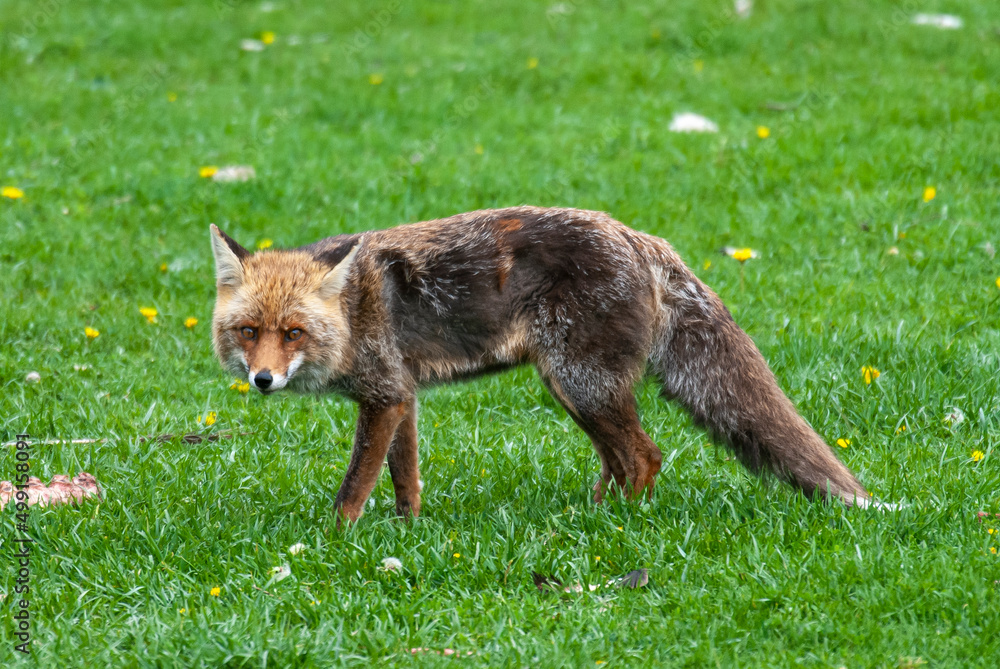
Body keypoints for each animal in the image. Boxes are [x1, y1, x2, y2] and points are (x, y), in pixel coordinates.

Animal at [210, 206, 870, 524]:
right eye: (249, 332)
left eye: (293, 333)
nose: (262, 380)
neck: (352, 312)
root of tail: (640, 237)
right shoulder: (400, 394)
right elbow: (404, 480)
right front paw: (407, 532)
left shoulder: (384, 395)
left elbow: (352, 488)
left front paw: (333, 542)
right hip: (578, 389)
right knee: (621, 461)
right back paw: (596, 515)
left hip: (579, 384)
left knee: (644, 456)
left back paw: (617, 530)